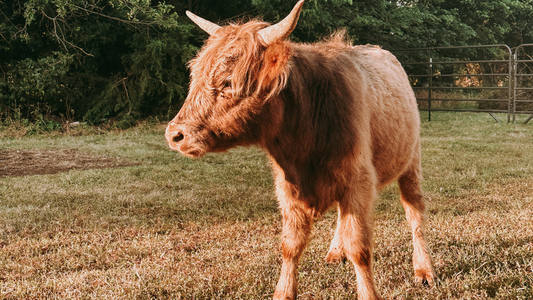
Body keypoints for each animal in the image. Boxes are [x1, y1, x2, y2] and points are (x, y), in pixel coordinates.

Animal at [166, 1, 436, 298]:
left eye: (228, 82)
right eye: (194, 75)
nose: (175, 134)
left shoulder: (358, 182)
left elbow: (359, 247)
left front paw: (368, 292)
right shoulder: (288, 187)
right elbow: (290, 245)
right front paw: (284, 291)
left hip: (412, 161)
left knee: (414, 211)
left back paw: (424, 270)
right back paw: (335, 252)